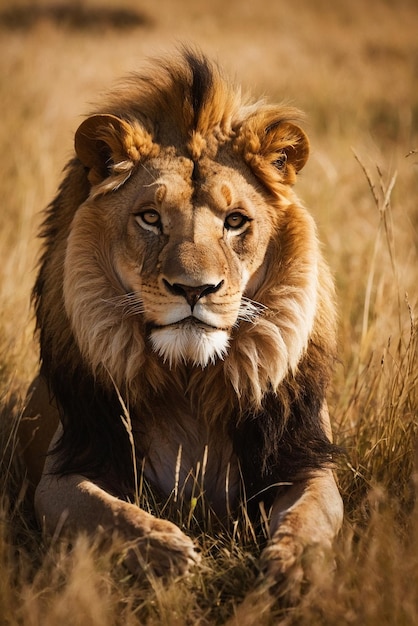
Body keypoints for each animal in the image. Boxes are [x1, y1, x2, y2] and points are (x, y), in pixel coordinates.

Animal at [19, 47, 342, 596]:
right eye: (150, 217)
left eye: (235, 221)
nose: (195, 289)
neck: (190, 379)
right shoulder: (68, 466)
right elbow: (107, 513)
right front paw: (166, 552)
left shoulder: (305, 457)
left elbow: (312, 514)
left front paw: (293, 566)